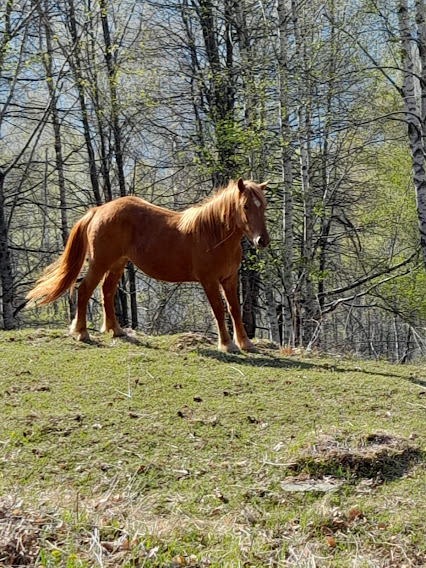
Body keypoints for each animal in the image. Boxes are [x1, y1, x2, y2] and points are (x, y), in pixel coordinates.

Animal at [26, 178, 269, 352]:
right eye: (245, 206)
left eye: (263, 206)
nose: (262, 241)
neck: (212, 234)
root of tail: (98, 211)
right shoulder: (209, 281)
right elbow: (219, 310)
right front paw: (227, 344)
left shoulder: (229, 279)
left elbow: (234, 309)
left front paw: (245, 343)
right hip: (100, 263)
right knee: (84, 290)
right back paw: (81, 333)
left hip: (118, 263)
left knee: (107, 291)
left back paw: (116, 330)